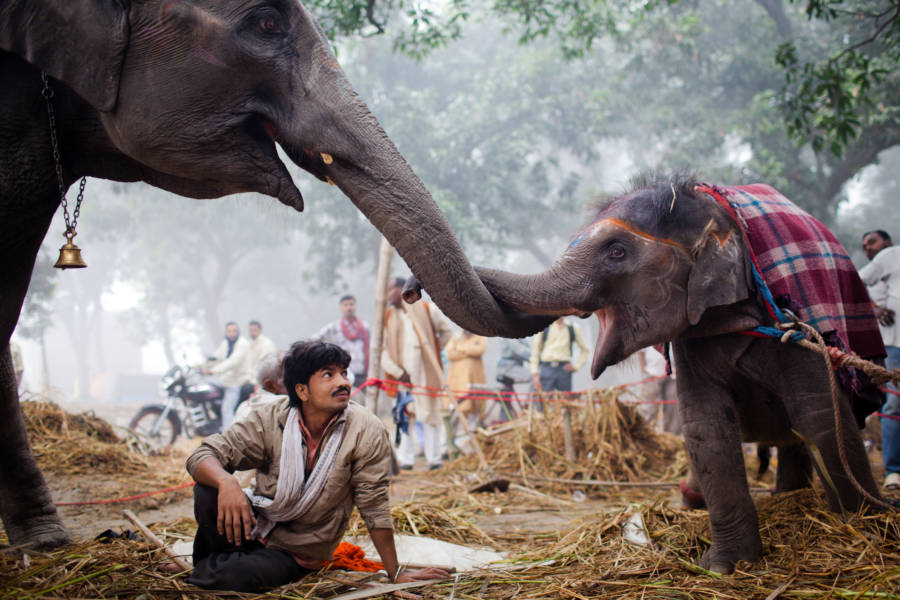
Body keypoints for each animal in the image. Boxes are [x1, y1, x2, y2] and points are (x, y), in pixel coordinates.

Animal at [472, 175, 884, 576]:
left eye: (616, 251)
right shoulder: (693, 338)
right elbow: (705, 425)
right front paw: (725, 567)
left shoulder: (798, 326)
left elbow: (820, 416)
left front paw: (862, 528)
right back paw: (757, 497)